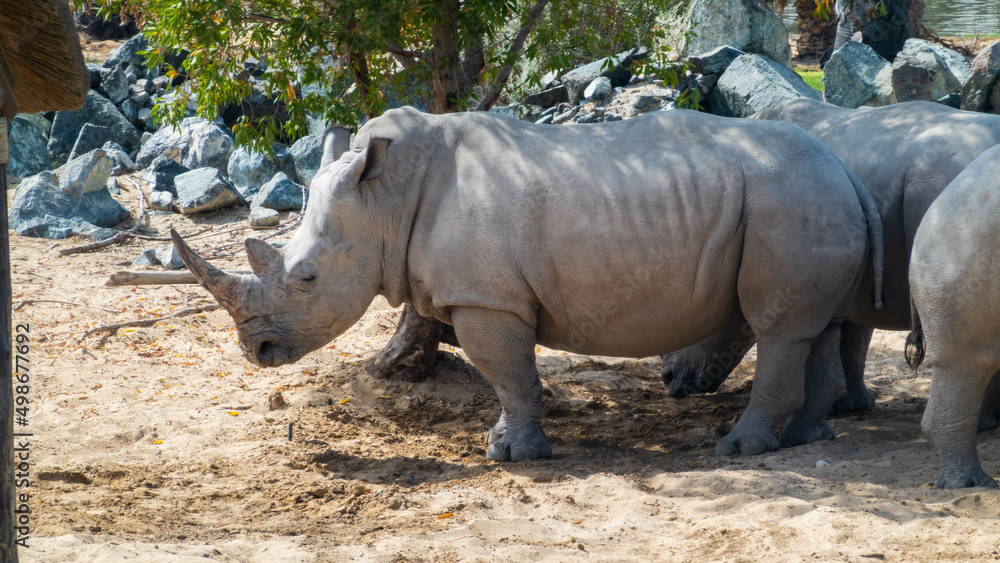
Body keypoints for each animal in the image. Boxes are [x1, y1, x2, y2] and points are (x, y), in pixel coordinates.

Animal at [172, 106, 883, 460]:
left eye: (307, 277)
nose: (256, 351)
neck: (384, 199)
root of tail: (847, 170)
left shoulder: (487, 298)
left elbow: (509, 375)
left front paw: (512, 455)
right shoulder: (479, 293)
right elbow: (507, 377)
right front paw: (505, 445)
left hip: (789, 200)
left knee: (778, 326)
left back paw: (740, 449)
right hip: (807, 201)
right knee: (815, 324)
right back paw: (806, 438)